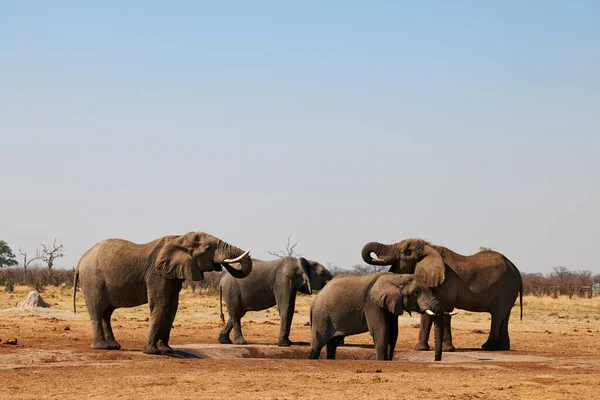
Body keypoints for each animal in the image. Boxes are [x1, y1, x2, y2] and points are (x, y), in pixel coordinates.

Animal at [72, 233, 251, 354]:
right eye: (209, 248)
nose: (220, 264)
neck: (179, 238)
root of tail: (81, 259)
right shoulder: (156, 274)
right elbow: (161, 304)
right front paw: (152, 352)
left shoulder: (172, 275)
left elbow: (172, 308)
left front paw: (166, 350)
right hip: (93, 280)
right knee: (97, 310)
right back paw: (101, 347)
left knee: (106, 313)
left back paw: (113, 346)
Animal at [310, 274, 450, 360]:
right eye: (416, 292)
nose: (437, 360)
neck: (396, 277)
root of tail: (316, 297)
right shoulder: (372, 304)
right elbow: (381, 330)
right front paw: (381, 361)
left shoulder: (391, 303)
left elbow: (393, 333)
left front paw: (387, 360)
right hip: (321, 316)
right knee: (318, 344)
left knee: (332, 344)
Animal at [360, 239, 520, 352]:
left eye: (403, 251)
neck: (429, 248)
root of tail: (515, 268)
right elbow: (427, 311)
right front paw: (420, 349)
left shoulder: (447, 282)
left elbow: (445, 309)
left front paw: (447, 350)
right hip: (509, 290)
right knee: (504, 316)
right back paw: (503, 348)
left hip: (506, 288)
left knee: (497, 315)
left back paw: (487, 347)